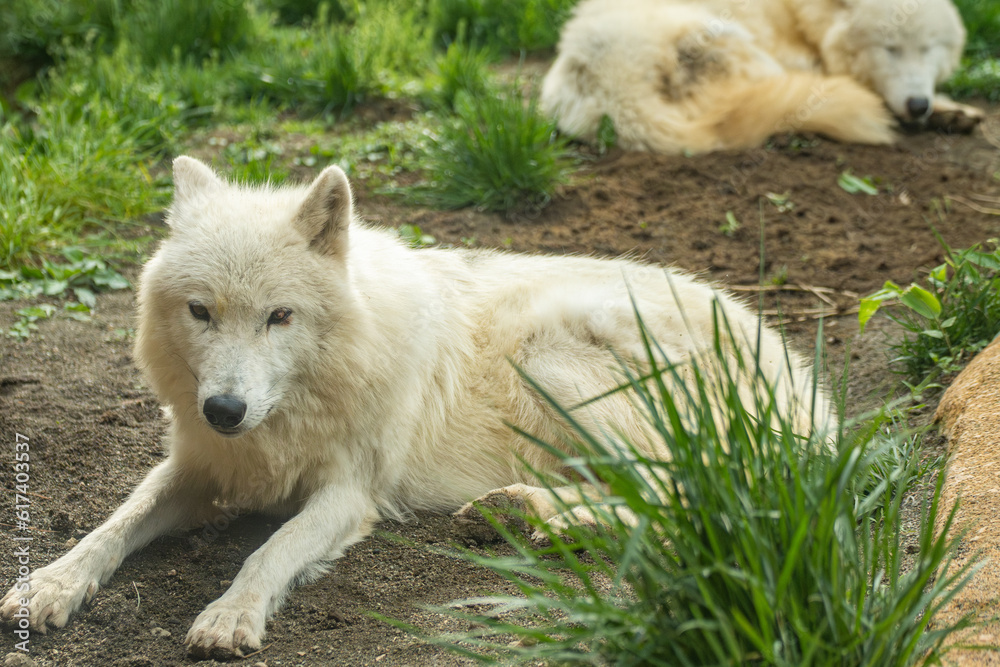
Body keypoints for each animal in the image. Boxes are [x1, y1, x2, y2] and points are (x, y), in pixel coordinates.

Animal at [0, 157, 828, 656]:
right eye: (201, 311)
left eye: (280, 317)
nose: (225, 409)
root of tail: (805, 387)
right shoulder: (200, 465)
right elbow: (113, 524)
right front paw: (49, 583)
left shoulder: (350, 491)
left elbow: (270, 548)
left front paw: (231, 613)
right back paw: (521, 509)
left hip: (551, 355)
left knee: (676, 494)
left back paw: (531, 514)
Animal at [540, 0, 984, 154]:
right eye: (889, 48)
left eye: (929, 48)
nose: (918, 105)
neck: (799, 15)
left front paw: (951, 112)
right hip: (738, 42)